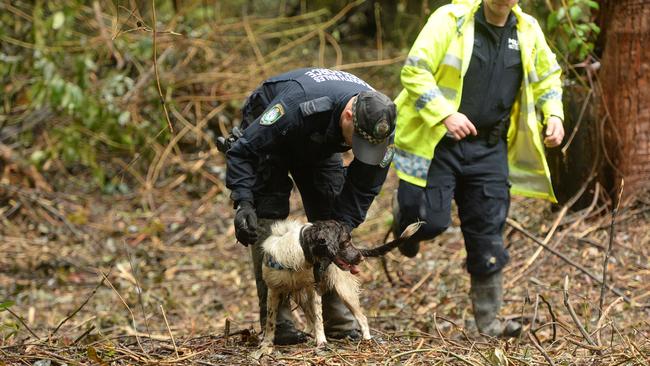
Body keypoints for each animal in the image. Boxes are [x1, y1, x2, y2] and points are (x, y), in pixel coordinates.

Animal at [256, 217, 418, 354]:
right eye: (345, 242)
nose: (361, 257)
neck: (298, 254)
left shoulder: (313, 288)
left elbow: (318, 318)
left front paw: (321, 342)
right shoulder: (273, 290)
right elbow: (271, 321)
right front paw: (266, 344)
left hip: (345, 291)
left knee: (362, 317)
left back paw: (366, 339)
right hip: (300, 295)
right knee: (309, 316)